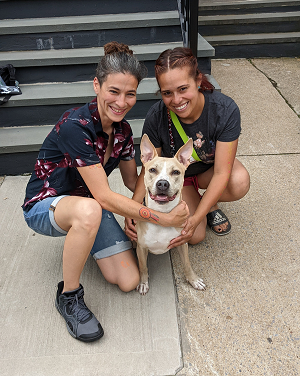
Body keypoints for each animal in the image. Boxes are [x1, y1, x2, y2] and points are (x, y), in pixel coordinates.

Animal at [136, 134, 206, 296]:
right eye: (152, 170)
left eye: (176, 172)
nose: (162, 183)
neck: (163, 217)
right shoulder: (141, 248)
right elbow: (143, 267)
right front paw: (143, 282)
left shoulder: (182, 243)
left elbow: (187, 264)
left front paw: (193, 279)